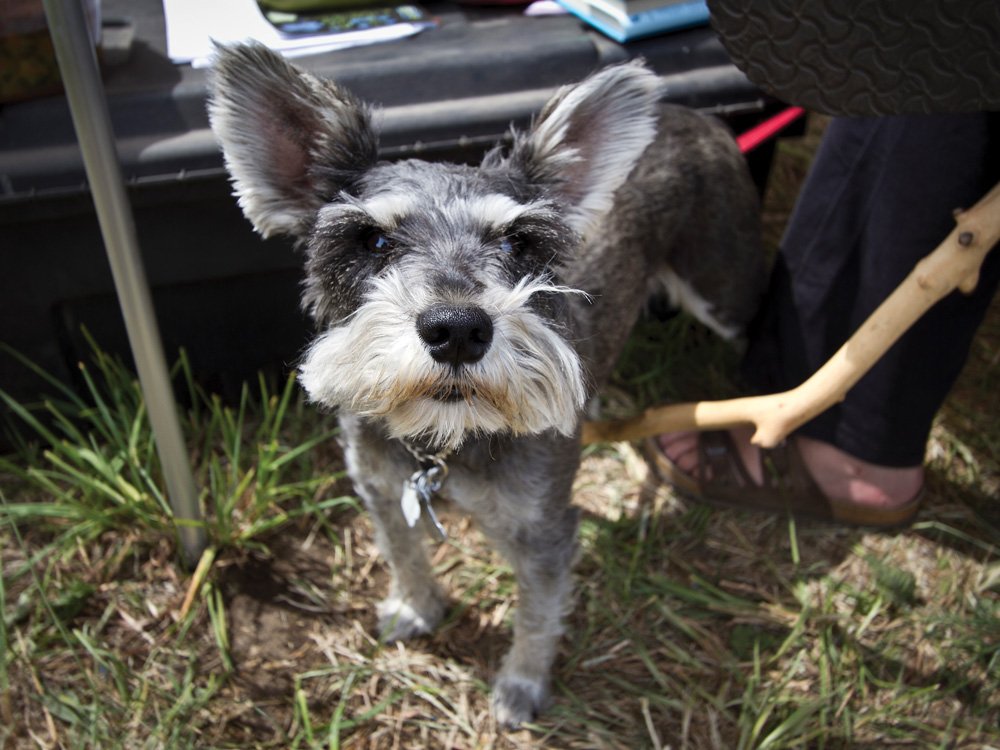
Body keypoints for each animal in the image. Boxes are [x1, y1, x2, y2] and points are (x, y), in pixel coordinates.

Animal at [207, 41, 760, 728]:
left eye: (520, 242)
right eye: (373, 239)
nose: (457, 329)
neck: (447, 442)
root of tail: (696, 116)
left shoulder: (544, 531)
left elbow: (538, 614)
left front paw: (521, 685)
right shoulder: (382, 490)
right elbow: (405, 553)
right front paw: (417, 607)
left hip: (723, 287)